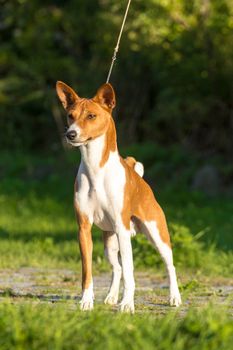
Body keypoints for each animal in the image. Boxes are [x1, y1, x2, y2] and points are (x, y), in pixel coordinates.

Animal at [55, 81, 181, 312]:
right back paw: (112, 296)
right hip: (109, 244)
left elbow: (131, 272)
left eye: (91, 116)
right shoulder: (83, 229)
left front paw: (127, 305)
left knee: (169, 266)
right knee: (118, 268)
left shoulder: (123, 230)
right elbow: (88, 272)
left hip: (157, 235)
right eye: (70, 115)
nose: (71, 134)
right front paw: (86, 301)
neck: (96, 169)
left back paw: (174, 298)